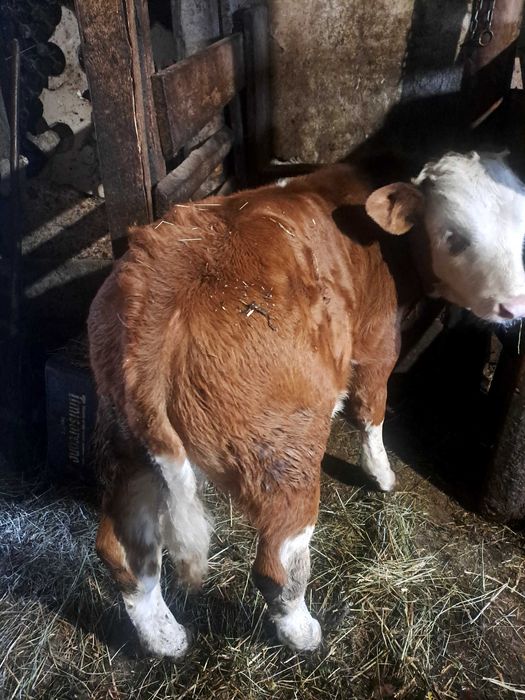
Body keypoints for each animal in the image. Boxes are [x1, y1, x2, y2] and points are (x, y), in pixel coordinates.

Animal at [88, 151, 525, 658]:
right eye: (454, 237)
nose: (514, 306)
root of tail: (159, 303)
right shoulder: (377, 340)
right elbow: (371, 412)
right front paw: (382, 475)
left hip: (126, 440)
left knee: (123, 550)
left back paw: (165, 638)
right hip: (284, 452)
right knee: (277, 563)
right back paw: (303, 632)